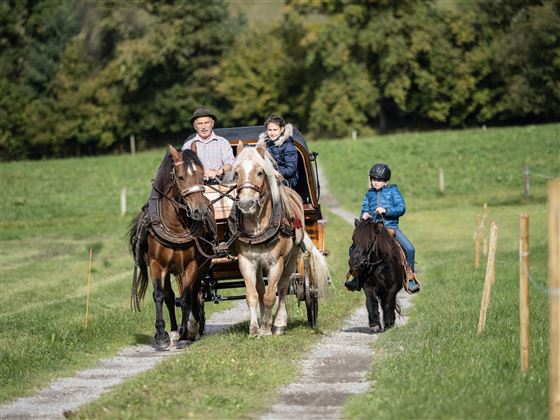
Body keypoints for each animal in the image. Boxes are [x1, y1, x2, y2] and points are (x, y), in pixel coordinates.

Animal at [129, 146, 214, 350]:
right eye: (181, 177)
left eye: (201, 175)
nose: (199, 210)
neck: (174, 226)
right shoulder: (156, 265)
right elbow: (160, 295)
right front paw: (162, 335)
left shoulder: (189, 266)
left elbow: (185, 298)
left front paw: (185, 334)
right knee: (169, 296)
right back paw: (175, 331)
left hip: (200, 268)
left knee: (194, 292)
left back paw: (193, 327)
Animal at [229, 143, 330, 336]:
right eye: (236, 173)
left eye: (260, 172)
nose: (246, 204)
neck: (258, 225)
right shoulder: (247, 261)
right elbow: (253, 295)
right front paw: (254, 329)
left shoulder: (276, 262)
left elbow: (271, 295)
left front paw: (267, 328)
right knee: (261, 288)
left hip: (291, 258)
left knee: (282, 288)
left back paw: (279, 324)